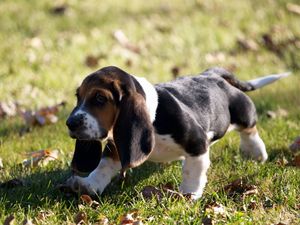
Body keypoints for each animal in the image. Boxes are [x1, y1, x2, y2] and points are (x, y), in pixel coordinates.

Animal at [65, 66, 288, 200]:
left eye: (100, 98)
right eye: (78, 96)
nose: (70, 123)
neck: (153, 115)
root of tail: (211, 74)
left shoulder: (197, 144)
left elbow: (192, 171)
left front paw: (189, 194)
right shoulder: (117, 145)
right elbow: (103, 165)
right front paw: (89, 185)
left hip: (242, 112)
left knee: (249, 129)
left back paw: (255, 152)